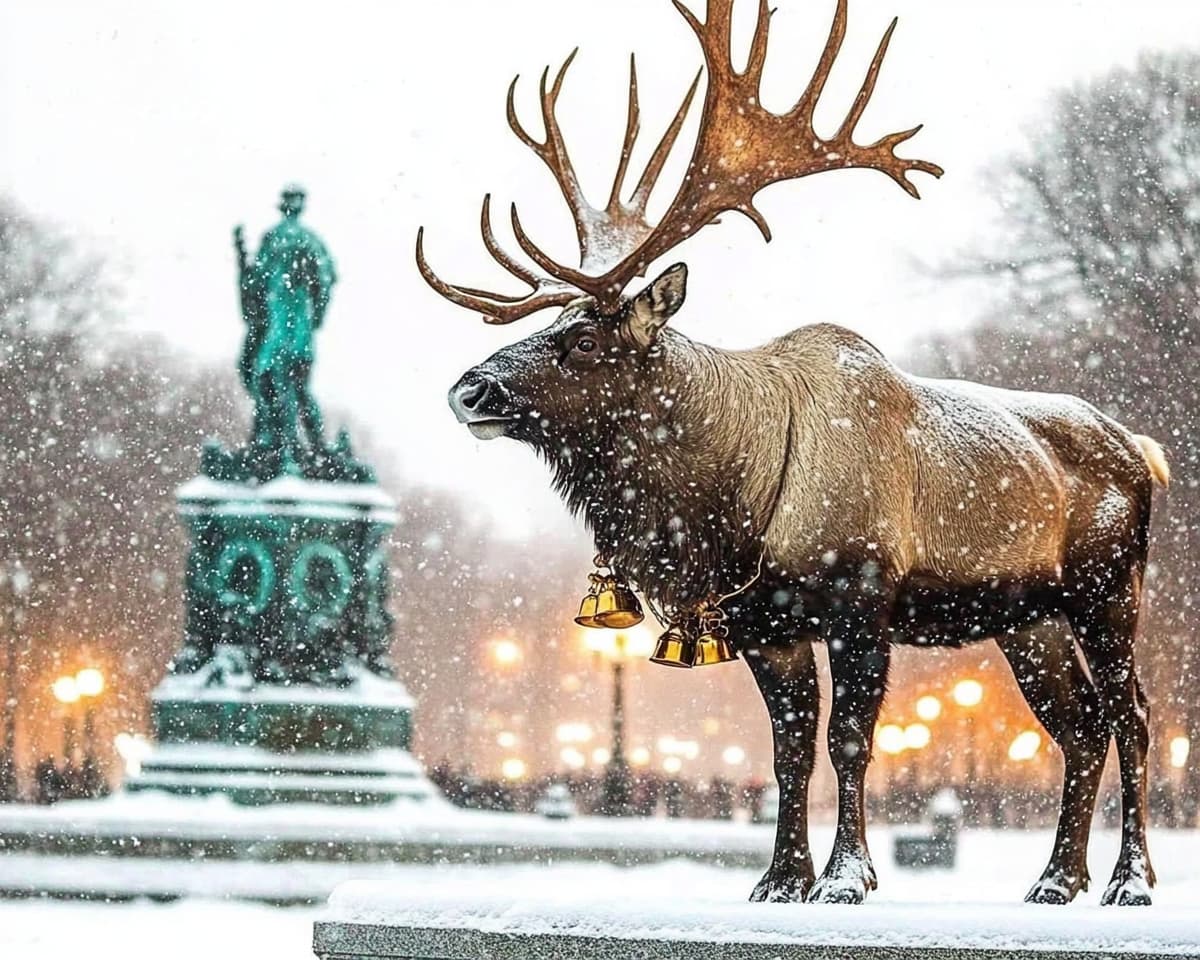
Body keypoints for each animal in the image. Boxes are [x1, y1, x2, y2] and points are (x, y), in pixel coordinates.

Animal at [418, 0, 1169, 906]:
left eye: (587, 341)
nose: (468, 391)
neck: (729, 511)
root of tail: (1144, 450)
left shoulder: (862, 601)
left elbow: (849, 741)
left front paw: (847, 879)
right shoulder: (764, 624)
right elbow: (789, 751)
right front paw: (779, 880)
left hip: (1109, 591)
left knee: (1132, 714)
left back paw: (1129, 881)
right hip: (1029, 618)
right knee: (1080, 725)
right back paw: (1056, 880)